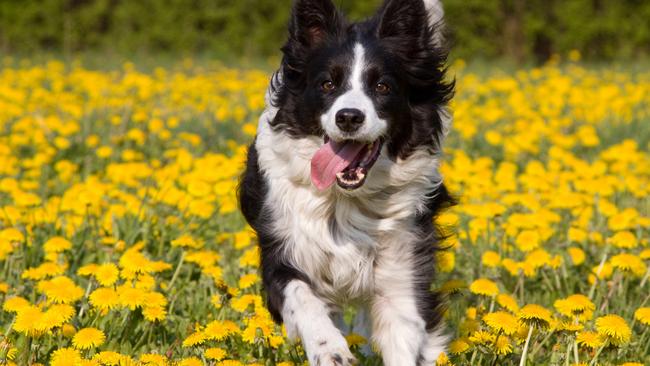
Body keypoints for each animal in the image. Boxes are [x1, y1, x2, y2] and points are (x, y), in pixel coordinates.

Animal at [235, 0, 454, 364]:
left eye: (382, 86)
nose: (349, 117)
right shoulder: (283, 247)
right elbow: (303, 298)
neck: (346, 199)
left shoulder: (402, 262)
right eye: (327, 84)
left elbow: (403, 329)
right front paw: (330, 349)